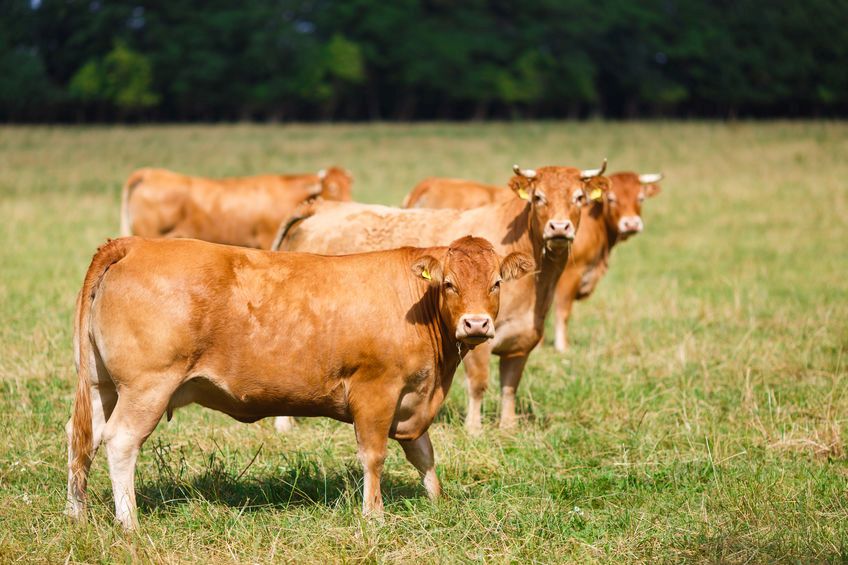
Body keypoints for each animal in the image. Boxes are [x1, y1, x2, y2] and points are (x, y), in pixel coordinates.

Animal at [66, 234, 528, 528]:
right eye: (449, 283)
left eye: (496, 283)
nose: (476, 324)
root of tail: (135, 243)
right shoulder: (376, 392)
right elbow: (374, 455)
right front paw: (374, 515)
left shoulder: (413, 398)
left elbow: (423, 453)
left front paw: (437, 500)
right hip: (147, 387)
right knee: (121, 441)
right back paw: (129, 523)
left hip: (101, 386)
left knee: (81, 437)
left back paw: (77, 513)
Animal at [272, 161, 608, 430]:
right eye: (539, 198)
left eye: (578, 198)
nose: (559, 227)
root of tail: (320, 206)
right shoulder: (476, 334)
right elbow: (478, 384)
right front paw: (474, 429)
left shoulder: (520, 341)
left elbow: (509, 386)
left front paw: (508, 427)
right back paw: (285, 424)